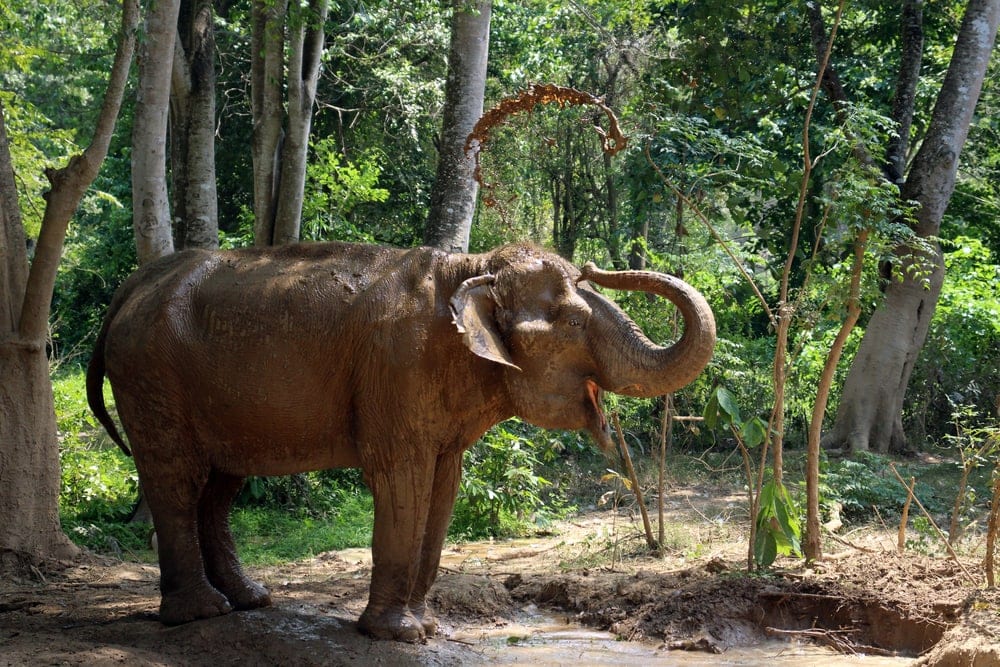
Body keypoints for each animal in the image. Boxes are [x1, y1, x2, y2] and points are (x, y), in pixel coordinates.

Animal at [86, 241, 715, 642]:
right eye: (573, 320)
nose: (594, 264)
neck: (469, 267)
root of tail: (130, 287)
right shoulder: (397, 371)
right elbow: (402, 477)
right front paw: (399, 636)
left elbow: (443, 483)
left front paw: (426, 626)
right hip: (150, 376)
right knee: (177, 478)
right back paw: (199, 614)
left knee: (219, 486)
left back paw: (249, 601)